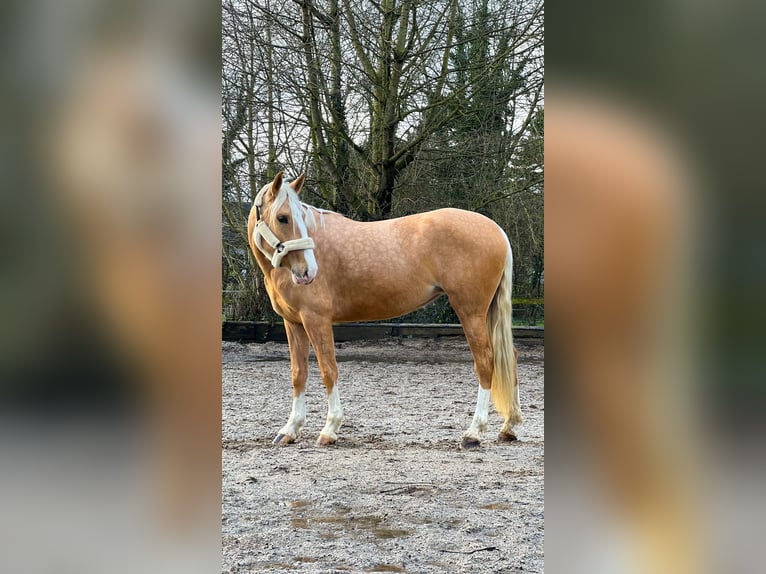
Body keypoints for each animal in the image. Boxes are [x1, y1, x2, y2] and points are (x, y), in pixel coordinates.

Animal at [249, 173, 524, 452]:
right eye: (283, 217)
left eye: (298, 217)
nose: (308, 272)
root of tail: (497, 230)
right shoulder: (293, 323)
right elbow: (298, 374)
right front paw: (289, 430)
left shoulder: (316, 319)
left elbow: (328, 370)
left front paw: (330, 429)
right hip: (486, 313)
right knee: (508, 357)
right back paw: (508, 428)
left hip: (470, 311)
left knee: (485, 362)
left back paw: (474, 433)